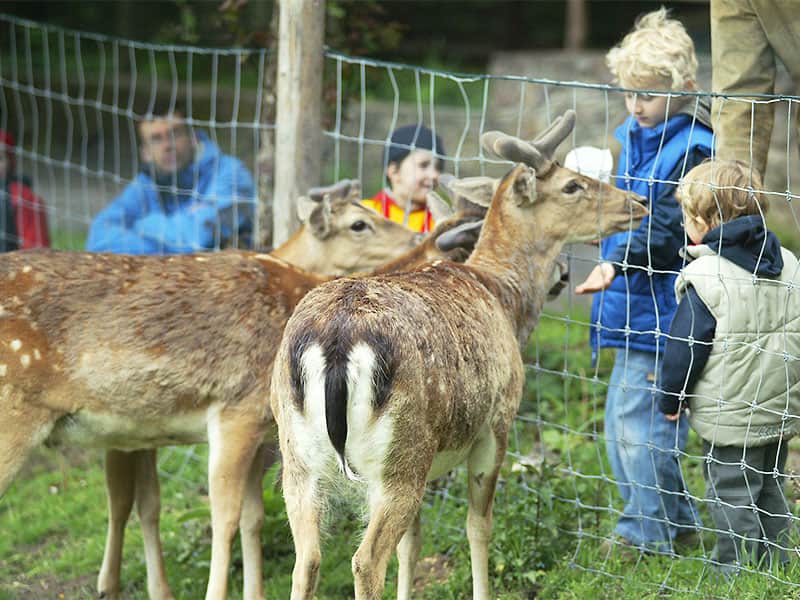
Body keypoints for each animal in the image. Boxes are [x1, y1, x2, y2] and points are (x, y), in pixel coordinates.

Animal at [268, 110, 648, 596]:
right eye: (572, 184)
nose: (639, 200)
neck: (504, 298)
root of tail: (334, 343)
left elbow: (413, 543)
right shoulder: (498, 422)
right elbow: (477, 526)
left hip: (299, 459)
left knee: (308, 559)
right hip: (399, 454)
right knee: (365, 561)